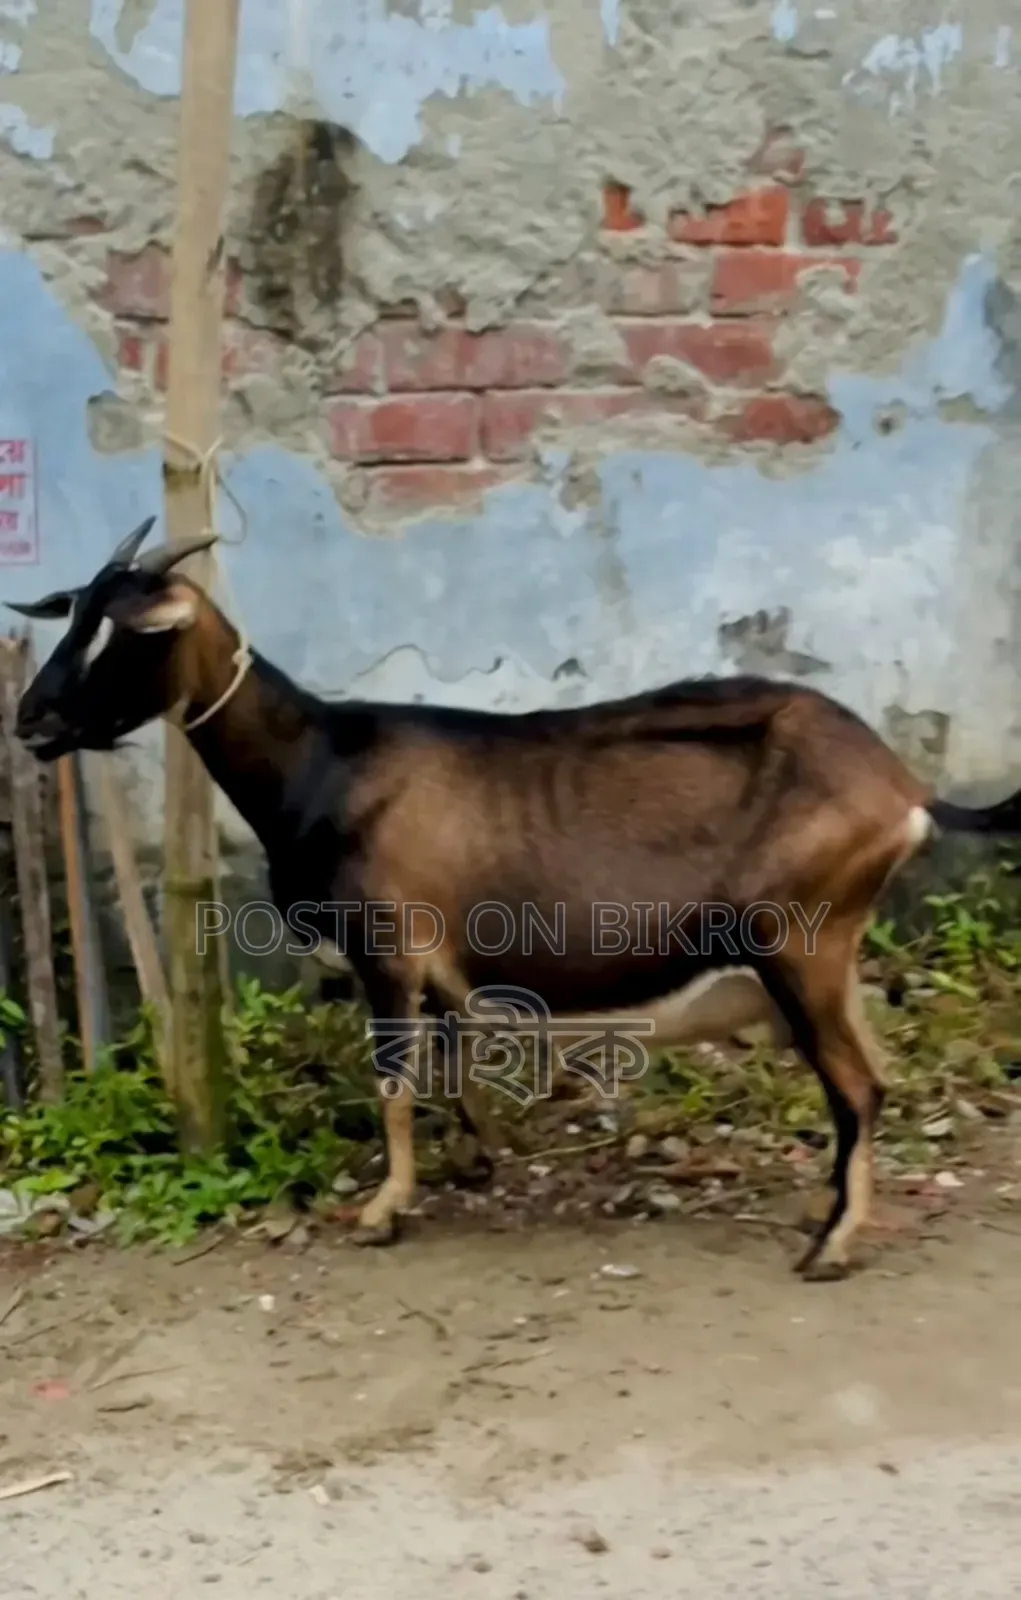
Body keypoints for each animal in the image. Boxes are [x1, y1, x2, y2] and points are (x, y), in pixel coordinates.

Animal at [10, 518, 1021, 1280]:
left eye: (131, 633)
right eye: (73, 616)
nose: (32, 720)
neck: (324, 764)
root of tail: (903, 789)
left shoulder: (386, 949)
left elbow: (393, 1080)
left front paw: (383, 1209)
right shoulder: (434, 967)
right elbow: (452, 1064)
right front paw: (475, 1160)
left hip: (798, 943)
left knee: (858, 1085)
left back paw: (832, 1245)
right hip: (829, 954)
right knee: (867, 1076)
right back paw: (830, 1206)